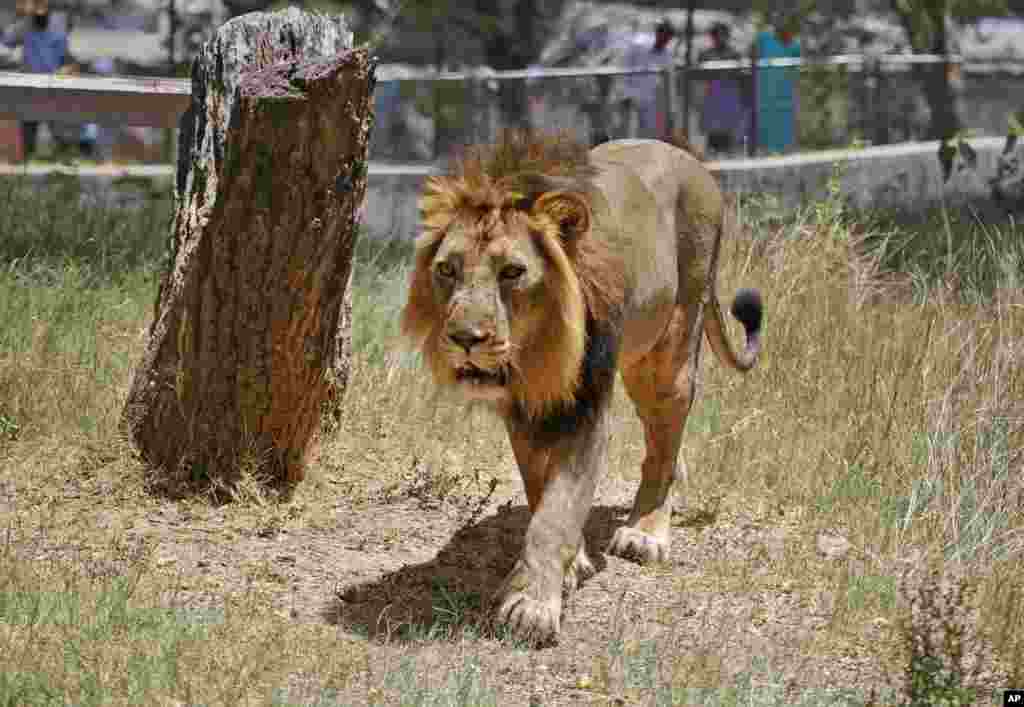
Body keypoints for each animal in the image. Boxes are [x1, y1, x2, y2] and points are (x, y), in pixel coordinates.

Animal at [399, 129, 761, 643]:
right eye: (448, 269)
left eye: (513, 272)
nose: (466, 338)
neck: (538, 354)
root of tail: (692, 161)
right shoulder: (524, 412)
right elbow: (541, 493)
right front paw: (567, 568)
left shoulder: (588, 410)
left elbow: (555, 513)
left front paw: (532, 606)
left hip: (669, 349)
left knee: (664, 445)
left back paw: (646, 533)